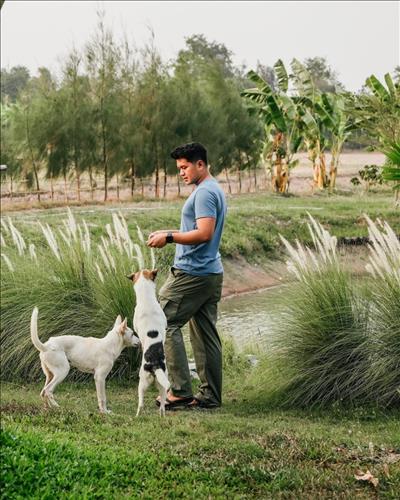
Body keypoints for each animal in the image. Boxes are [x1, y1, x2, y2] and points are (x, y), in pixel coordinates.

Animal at [127, 270, 170, 414]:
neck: (146, 299)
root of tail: (155, 363)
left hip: (142, 383)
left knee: (141, 404)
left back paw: (137, 415)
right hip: (162, 385)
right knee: (162, 407)